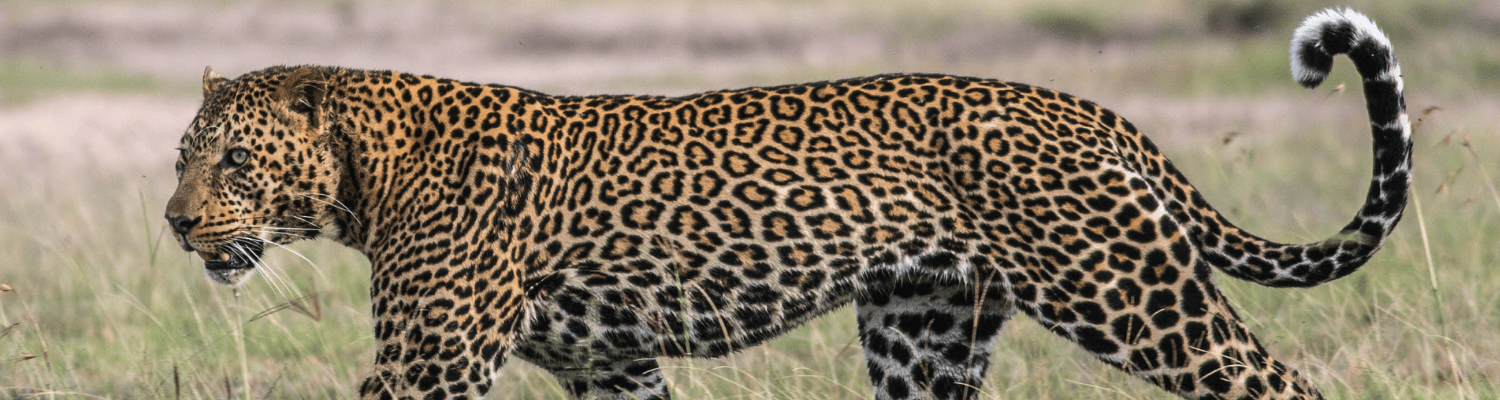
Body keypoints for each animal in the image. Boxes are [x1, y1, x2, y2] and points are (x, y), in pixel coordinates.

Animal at [164, 8, 1410, 400]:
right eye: (182, 158)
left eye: (232, 164)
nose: (176, 221)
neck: (367, 174)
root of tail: (1089, 108)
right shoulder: (613, 367)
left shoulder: (429, 362)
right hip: (923, 334)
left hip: (1130, 292)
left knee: (1279, 382)